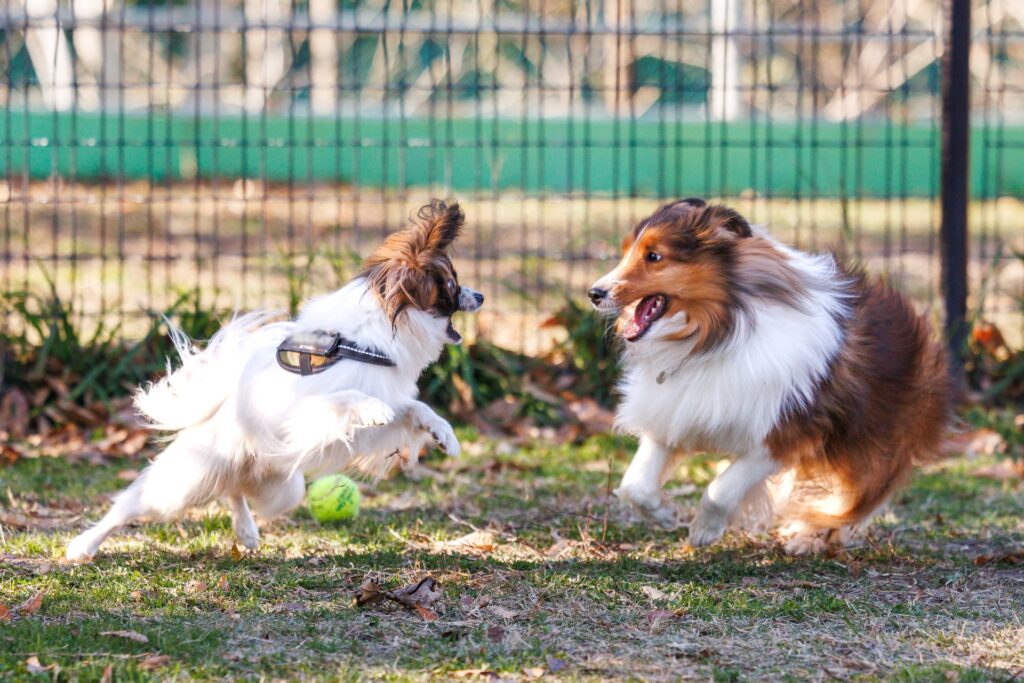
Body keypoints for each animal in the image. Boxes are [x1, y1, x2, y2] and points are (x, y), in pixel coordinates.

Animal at [69, 198, 483, 561]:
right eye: (451, 286)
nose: (479, 295)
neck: (359, 343)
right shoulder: (301, 415)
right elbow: (346, 398)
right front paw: (371, 408)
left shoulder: (384, 409)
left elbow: (416, 408)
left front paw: (444, 434)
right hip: (185, 484)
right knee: (132, 506)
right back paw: (84, 545)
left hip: (282, 489)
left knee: (233, 489)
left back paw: (246, 530)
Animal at [593, 200, 950, 552]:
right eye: (625, 252)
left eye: (654, 256)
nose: (594, 293)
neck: (713, 336)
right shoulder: (675, 412)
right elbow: (635, 483)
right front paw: (664, 513)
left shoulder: (779, 435)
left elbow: (721, 489)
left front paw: (704, 530)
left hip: (871, 443)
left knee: (852, 501)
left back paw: (811, 536)